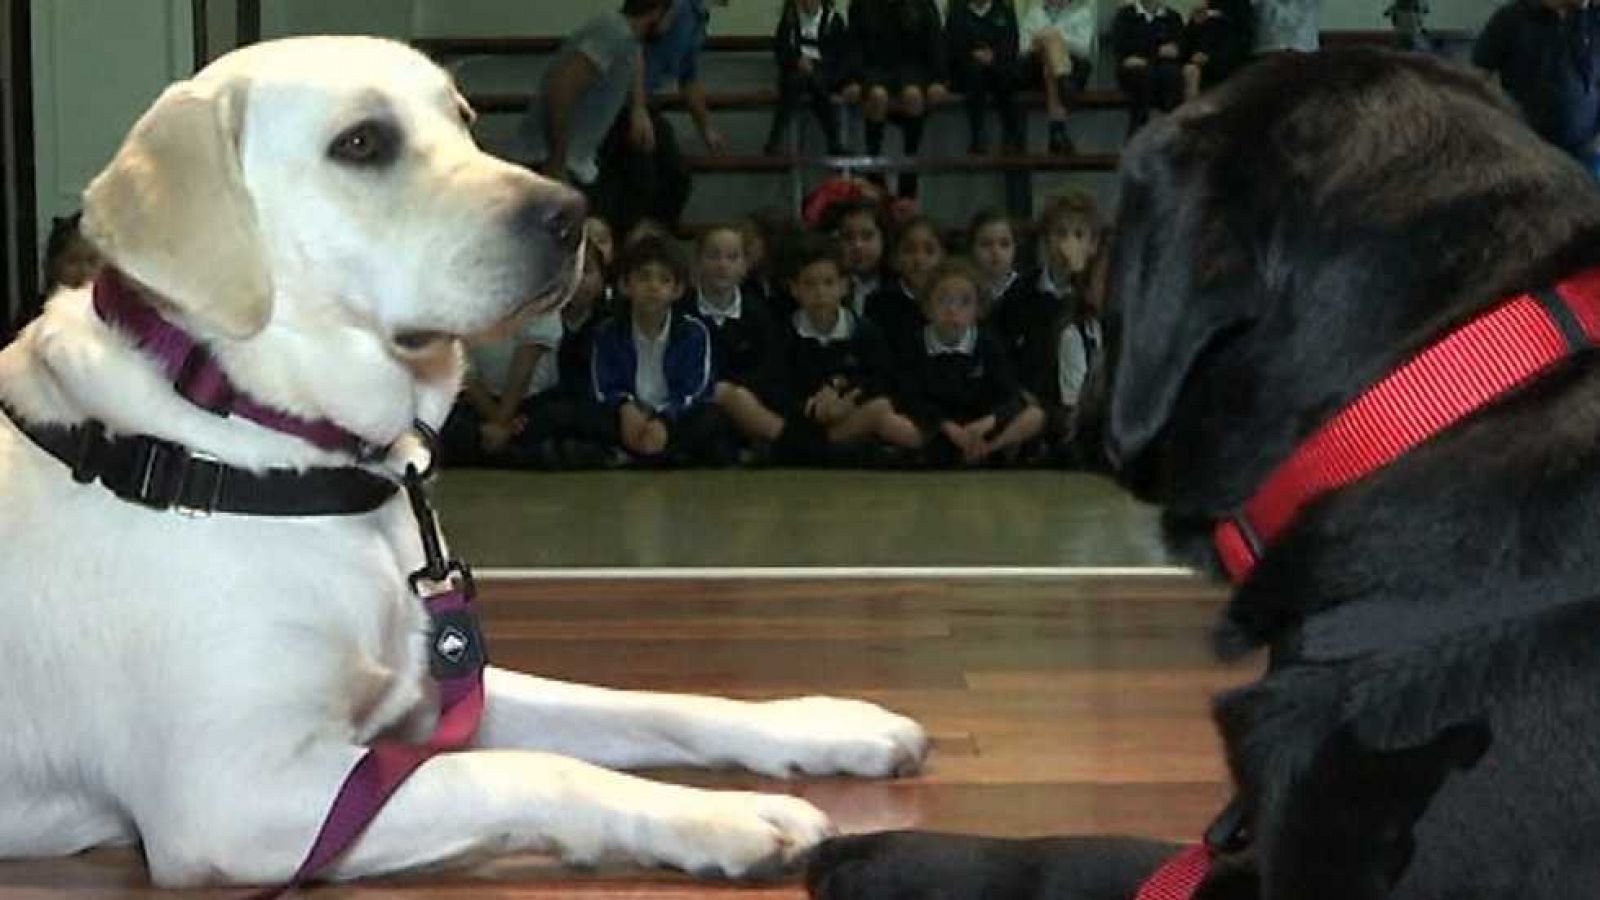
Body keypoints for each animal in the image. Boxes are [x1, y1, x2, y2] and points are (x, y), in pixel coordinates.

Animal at [0, 38, 928, 883]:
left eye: (464, 119)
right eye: (362, 143)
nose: (570, 212)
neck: (244, 427)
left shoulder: (432, 686)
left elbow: (651, 702)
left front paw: (821, 725)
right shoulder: (234, 800)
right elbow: (533, 770)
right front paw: (720, 816)